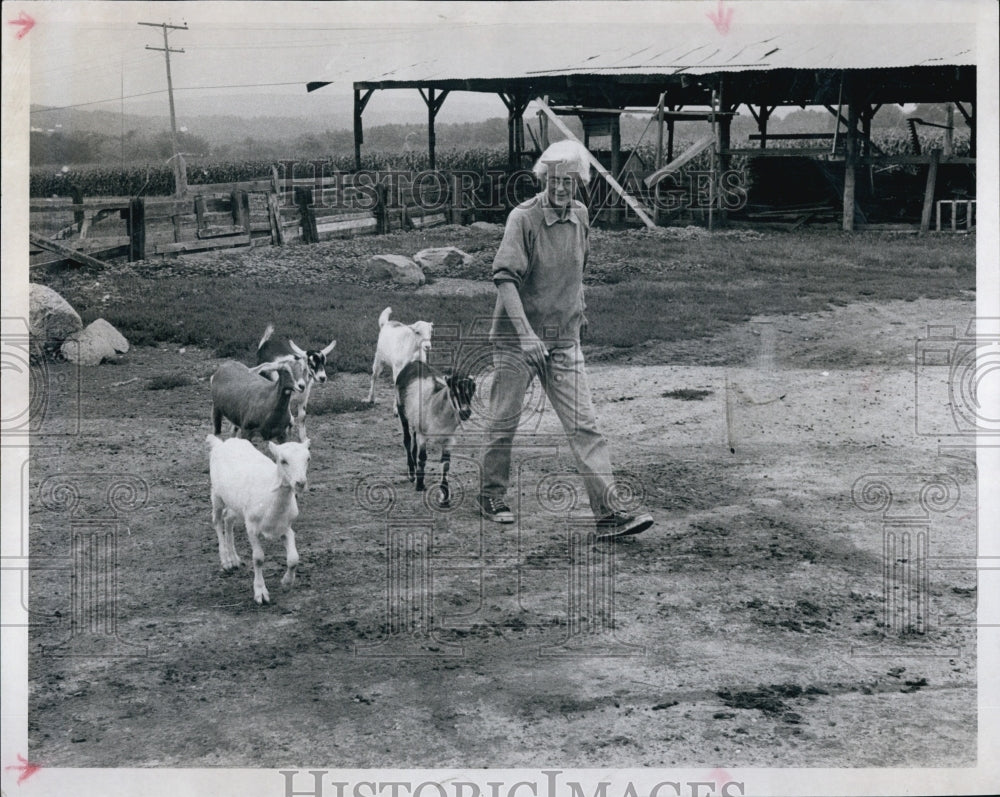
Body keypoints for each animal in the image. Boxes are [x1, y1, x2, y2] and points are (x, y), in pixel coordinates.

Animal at [206, 436, 308, 604]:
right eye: (283, 460)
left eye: (308, 459)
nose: (300, 483)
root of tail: (221, 443)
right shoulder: (252, 527)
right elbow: (259, 558)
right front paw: (261, 593)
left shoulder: (286, 527)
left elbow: (294, 558)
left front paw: (287, 582)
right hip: (216, 493)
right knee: (217, 520)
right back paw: (226, 561)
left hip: (236, 504)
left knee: (228, 518)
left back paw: (234, 559)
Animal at [394, 360, 476, 504]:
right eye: (453, 392)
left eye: (471, 392)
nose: (465, 412)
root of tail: (415, 362)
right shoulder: (422, 435)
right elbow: (422, 458)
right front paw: (420, 485)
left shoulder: (449, 438)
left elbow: (445, 464)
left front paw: (445, 495)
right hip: (401, 410)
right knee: (407, 440)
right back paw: (412, 473)